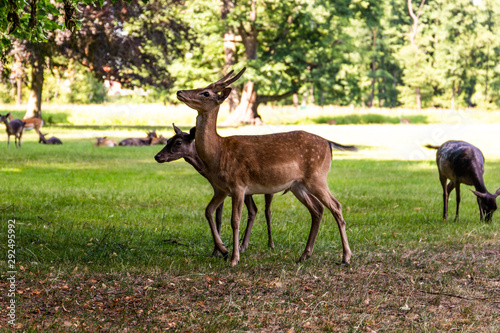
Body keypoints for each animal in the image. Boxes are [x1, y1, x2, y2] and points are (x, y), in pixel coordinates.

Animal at [154, 124, 276, 252]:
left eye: (178, 142)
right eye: (168, 140)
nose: (157, 156)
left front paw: (219, 250)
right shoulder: (219, 190)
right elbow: (218, 217)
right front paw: (217, 249)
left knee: (267, 211)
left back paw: (270, 244)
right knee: (253, 210)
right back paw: (243, 245)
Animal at [176, 68, 356, 266]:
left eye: (206, 93)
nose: (180, 92)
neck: (218, 152)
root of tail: (329, 144)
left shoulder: (238, 185)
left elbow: (235, 220)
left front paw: (234, 258)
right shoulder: (222, 189)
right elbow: (208, 211)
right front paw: (223, 249)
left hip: (317, 177)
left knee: (336, 206)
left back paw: (346, 257)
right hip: (297, 185)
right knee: (317, 209)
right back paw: (304, 255)